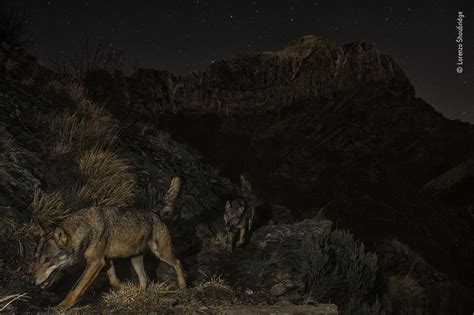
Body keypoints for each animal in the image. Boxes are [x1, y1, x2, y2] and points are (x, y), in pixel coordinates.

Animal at [31, 178, 186, 312]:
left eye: (47, 260)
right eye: (37, 259)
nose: (33, 282)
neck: (86, 228)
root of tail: (154, 213)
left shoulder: (95, 262)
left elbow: (74, 289)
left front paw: (61, 306)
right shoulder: (106, 260)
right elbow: (112, 279)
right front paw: (122, 288)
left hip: (161, 253)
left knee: (177, 263)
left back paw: (183, 285)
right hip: (135, 260)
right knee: (144, 280)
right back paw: (140, 295)